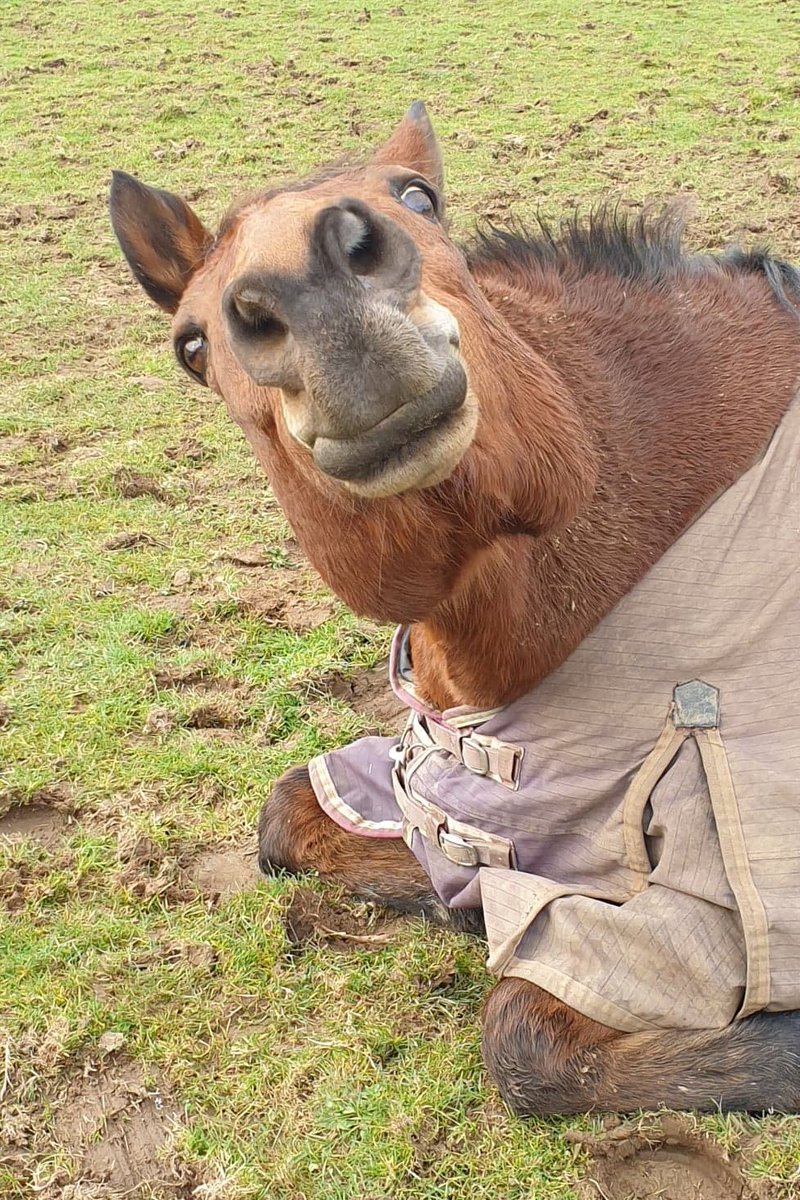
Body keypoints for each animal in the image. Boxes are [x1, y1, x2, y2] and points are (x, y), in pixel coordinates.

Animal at [109, 102, 800, 1116]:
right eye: (190, 347)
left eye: (419, 197)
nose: (314, 292)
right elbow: (292, 816)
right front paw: (458, 902)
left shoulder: (718, 896)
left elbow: (525, 1037)